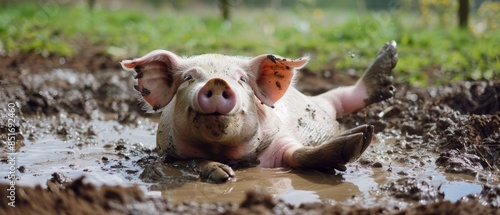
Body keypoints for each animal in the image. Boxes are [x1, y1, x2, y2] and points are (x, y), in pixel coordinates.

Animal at [121, 40, 398, 183]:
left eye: (242, 79)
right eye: (189, 77)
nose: (217, 82)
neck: (226, 151)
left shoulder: (280, 137)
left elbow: (298, 155)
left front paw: (360, 137)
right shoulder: (169, 152)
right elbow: (193, 161)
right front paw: (223, 174)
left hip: (322, 105)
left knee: (338, 98)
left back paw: (388, 55)